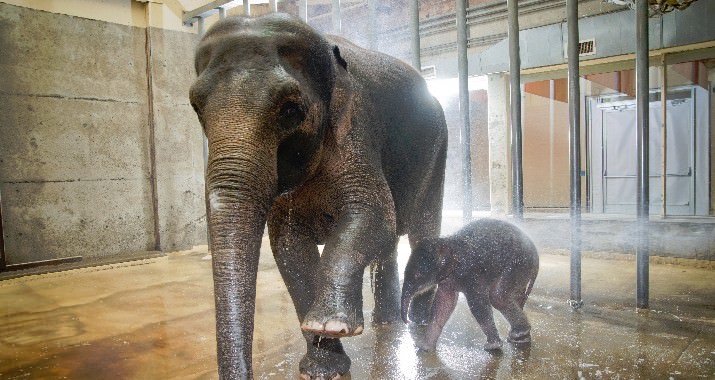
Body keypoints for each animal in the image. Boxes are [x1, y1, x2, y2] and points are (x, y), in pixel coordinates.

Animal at [190, 13, 448, 378]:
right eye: (196, 107)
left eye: (290, 109)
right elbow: (289, 247)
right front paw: (323, 368)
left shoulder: (356, 129)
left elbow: (373, 212)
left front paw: (332, 325)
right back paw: (387, 325)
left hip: (438, 149)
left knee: (422, 232)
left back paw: (418, 324)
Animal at [400, 218, 540, 352]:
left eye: (418, 275)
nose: (406, 322)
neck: (447, 242)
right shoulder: (447, 279)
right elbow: (443, 305)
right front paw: (424, 348)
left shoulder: (471, 272)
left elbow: (477, 304)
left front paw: (492, 346)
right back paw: (520, 338)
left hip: (518, 265)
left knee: (498, 297)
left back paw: (519, 334)